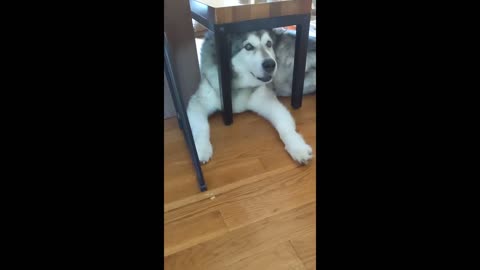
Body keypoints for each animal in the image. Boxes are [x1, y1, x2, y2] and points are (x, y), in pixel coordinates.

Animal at [187, 29, 316, 165]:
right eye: (248, 46)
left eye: (269, 43)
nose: (270, 64)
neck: (239, 85)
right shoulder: (198, 103)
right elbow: (202, 127)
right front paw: (201, 148)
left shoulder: (267, 100)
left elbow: (285, 126)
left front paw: (297, 147)